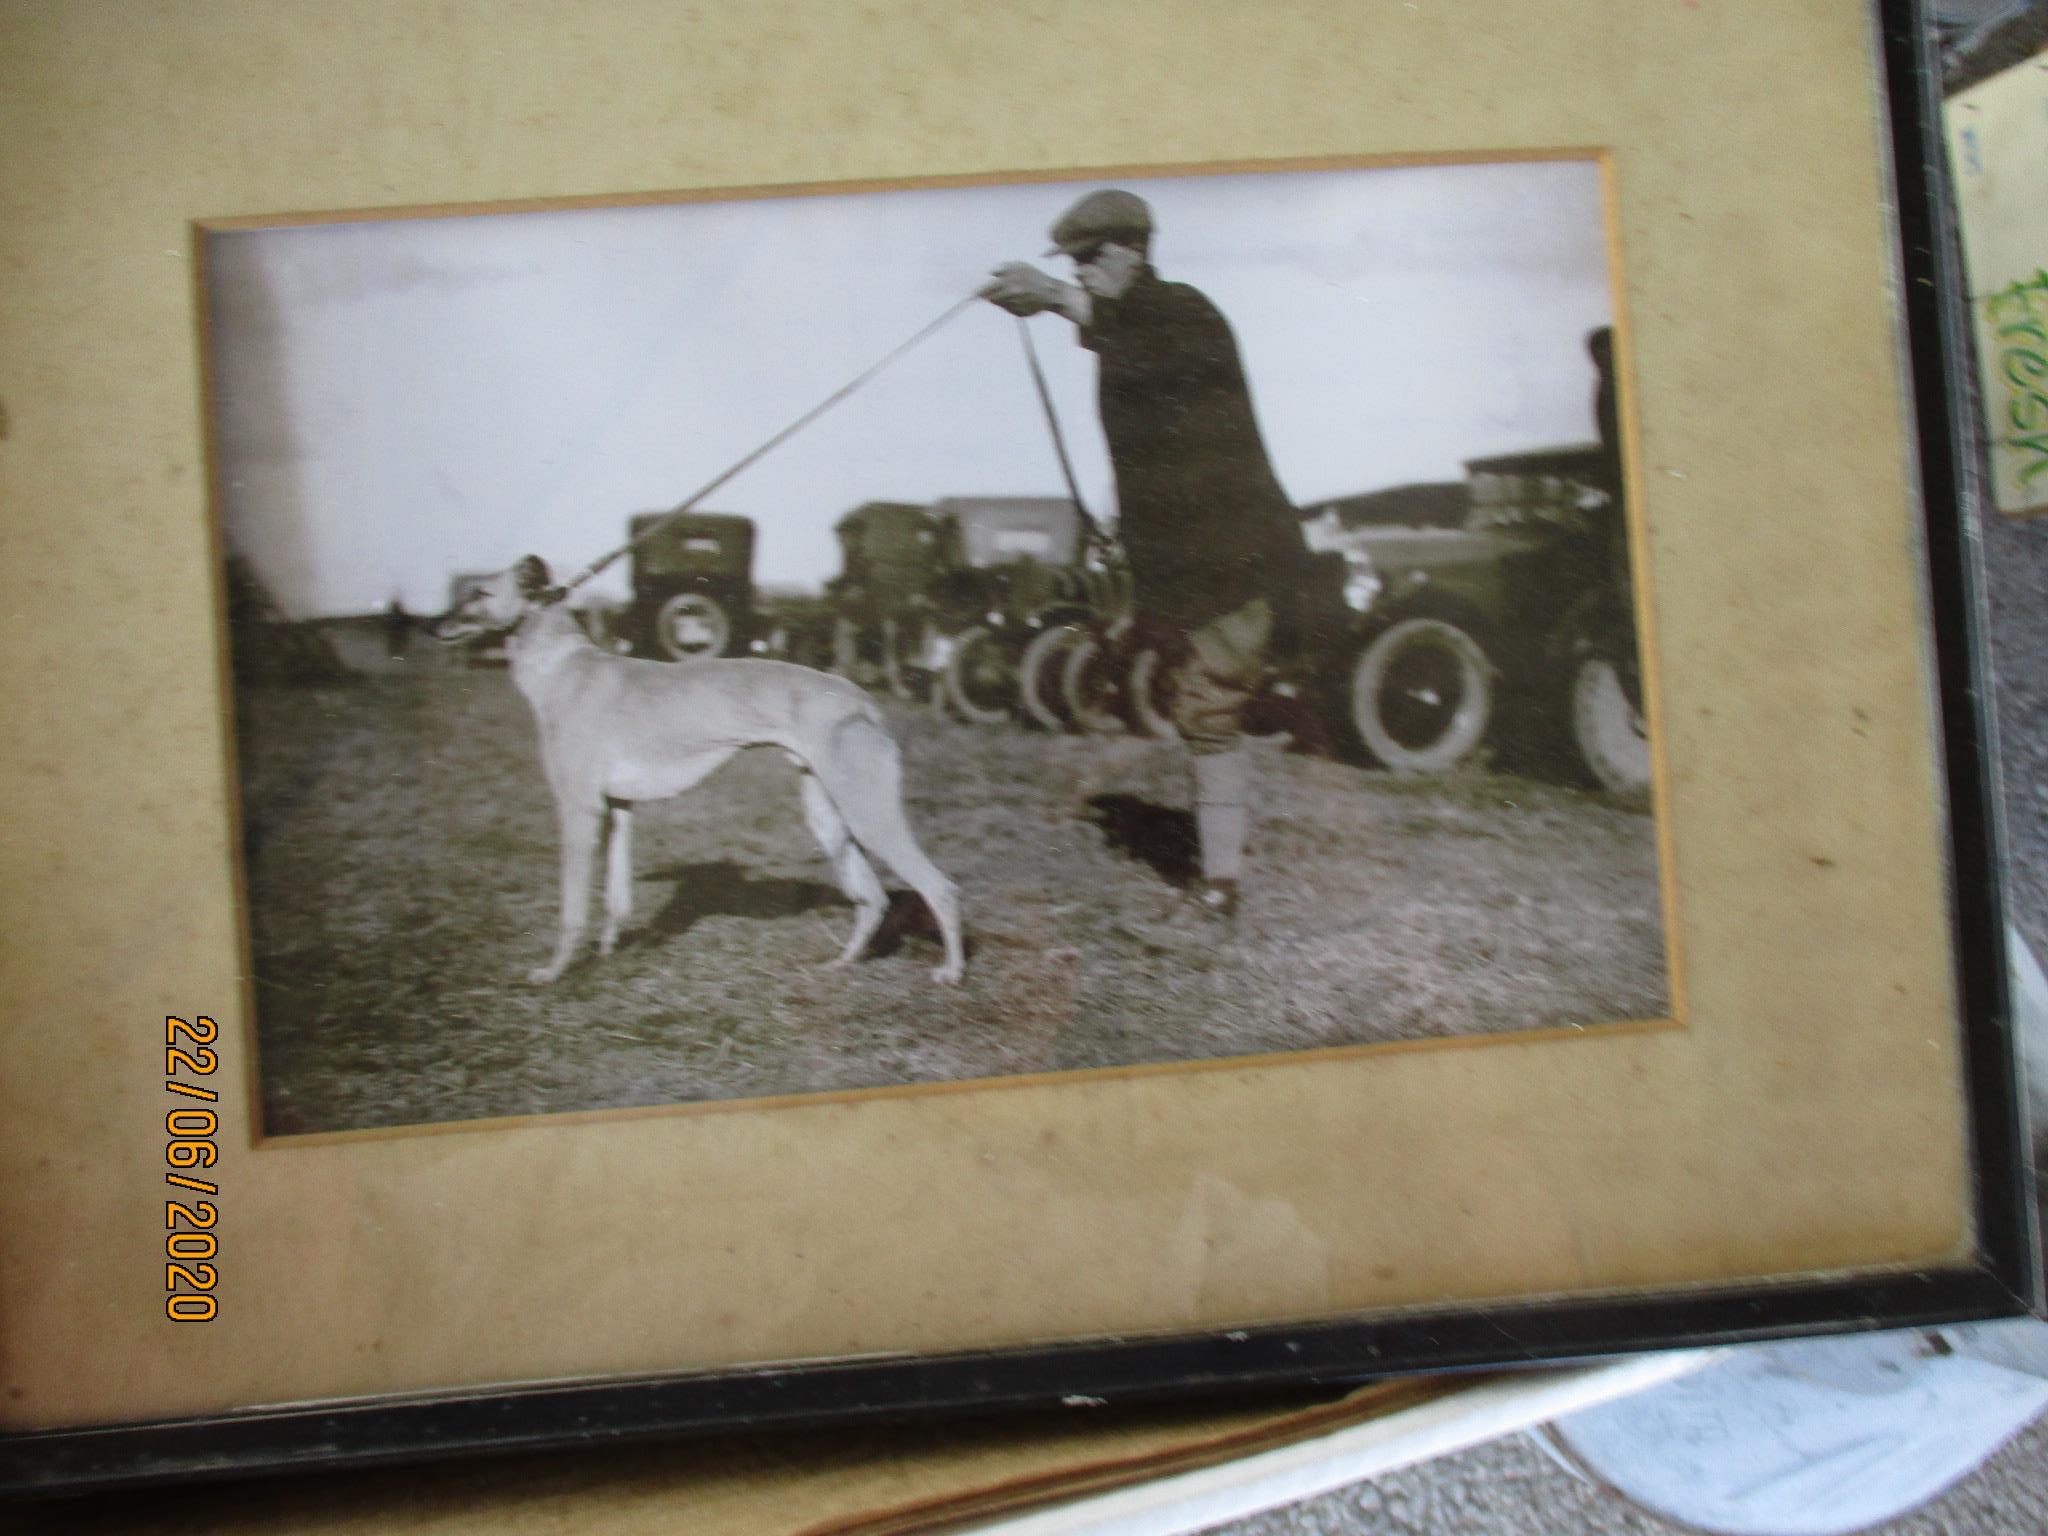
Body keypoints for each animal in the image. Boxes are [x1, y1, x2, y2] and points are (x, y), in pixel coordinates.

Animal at [425, 561, 966, 987]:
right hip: (830, 817)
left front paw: (555, 971)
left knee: (939, 887)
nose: (432, 628)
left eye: (479, 593)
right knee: (872, 899)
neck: (562, 668)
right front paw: (608, 954)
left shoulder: (579, 810)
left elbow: (573, 908)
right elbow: (617, 898)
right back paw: (843, 963)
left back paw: (952, 972)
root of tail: (862, 698)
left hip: (869, 815)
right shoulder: (618, 809)